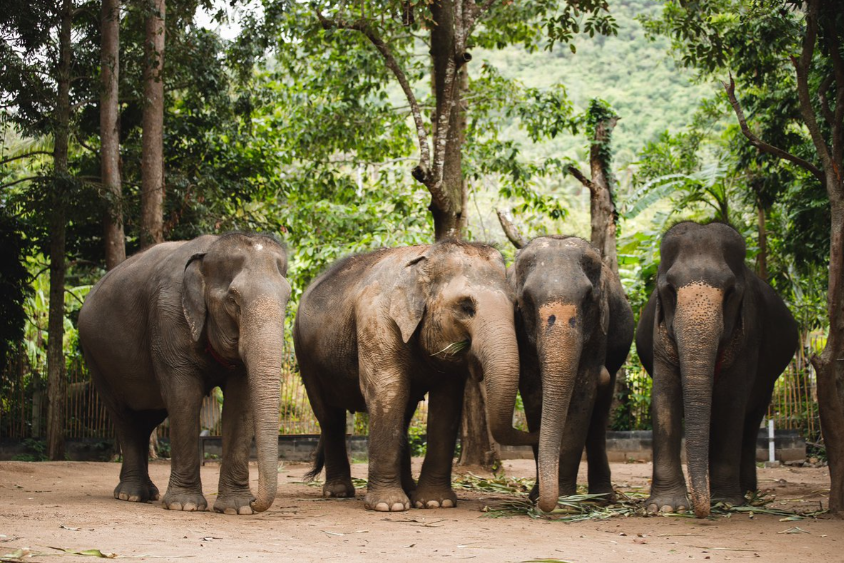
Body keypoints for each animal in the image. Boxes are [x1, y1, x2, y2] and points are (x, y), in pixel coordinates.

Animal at [80, 232, 290, 516]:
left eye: (287, 299)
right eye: (232, 300)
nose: (256, 502)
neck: (208, 253)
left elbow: (241, 402)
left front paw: (237, 508)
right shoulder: (168, 319)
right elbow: (184, 397)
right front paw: (185, 505)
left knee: (146, 419)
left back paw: (148, 493)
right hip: (96, 358)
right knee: (125, 418)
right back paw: (131, 495)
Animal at [294, 240, 536, 512]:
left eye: (516, 309)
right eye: (466, 307)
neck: (424, 257)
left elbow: (446, 403)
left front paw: (435, 502)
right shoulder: (376, 318)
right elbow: (388, 389)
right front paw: (388, 506)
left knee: (403, 416)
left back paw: (408, 489)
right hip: (305, 356)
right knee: (329, 417)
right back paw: (339, 492)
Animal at [508, 236, 632, 512]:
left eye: (588, 297)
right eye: (527, 299)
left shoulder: (598, 330)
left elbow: (583, 392)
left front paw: (564, 501)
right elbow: (533, 392)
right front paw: (538, 497)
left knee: (599, 414)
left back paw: (602, 497)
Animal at [640, 221, 796, 520]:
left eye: (731, 291)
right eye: (670, 289)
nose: (700, 511)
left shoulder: (749, 335)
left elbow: (732, 400)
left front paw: (726, 502)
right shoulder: (658, 336)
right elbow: (664, 398)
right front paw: (665, 507)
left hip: (769, 380)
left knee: (751, 419)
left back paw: (746, 492)